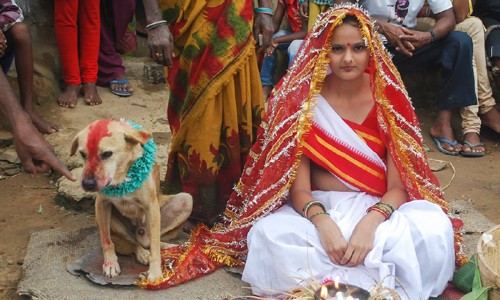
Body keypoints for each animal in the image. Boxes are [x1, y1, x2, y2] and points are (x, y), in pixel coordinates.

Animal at [71, 119, 192, 282]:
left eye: (107, 154)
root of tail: (139, 231)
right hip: (110, 220)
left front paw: (155, 272)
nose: (87, 184)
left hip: (186, 200)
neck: (121, 177)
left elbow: (154, 245)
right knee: (133, 243)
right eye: (83, 154)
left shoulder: (151, 207)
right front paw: (110, 263)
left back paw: (168, 247)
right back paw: (142, 253)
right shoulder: (102, 205)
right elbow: (106, 241)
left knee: (149, 241)